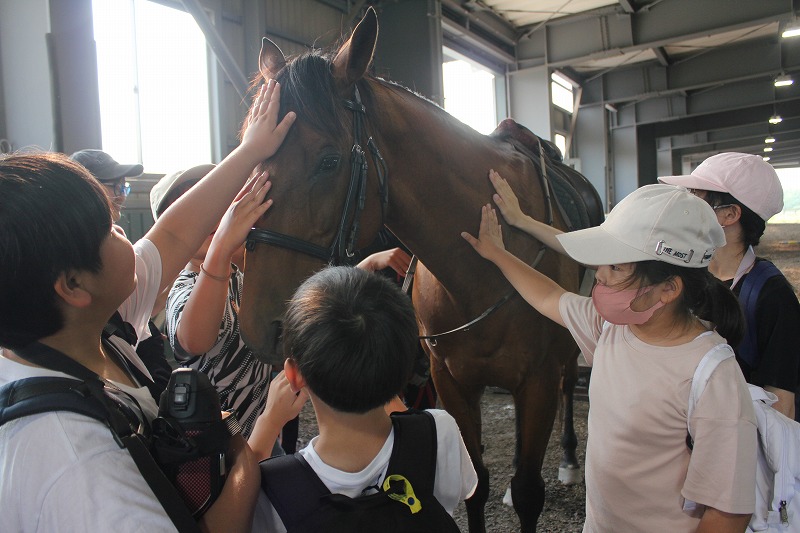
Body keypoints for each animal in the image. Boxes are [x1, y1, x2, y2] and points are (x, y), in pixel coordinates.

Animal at [239, 8, 597, 532]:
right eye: (251, 157)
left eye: (328, 160)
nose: (258, 325)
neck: (482, 266)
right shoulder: (451, 381)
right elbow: (476, 485)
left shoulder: (538, 380)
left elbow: (529, 492)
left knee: (571, 385)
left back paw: (570, 458)